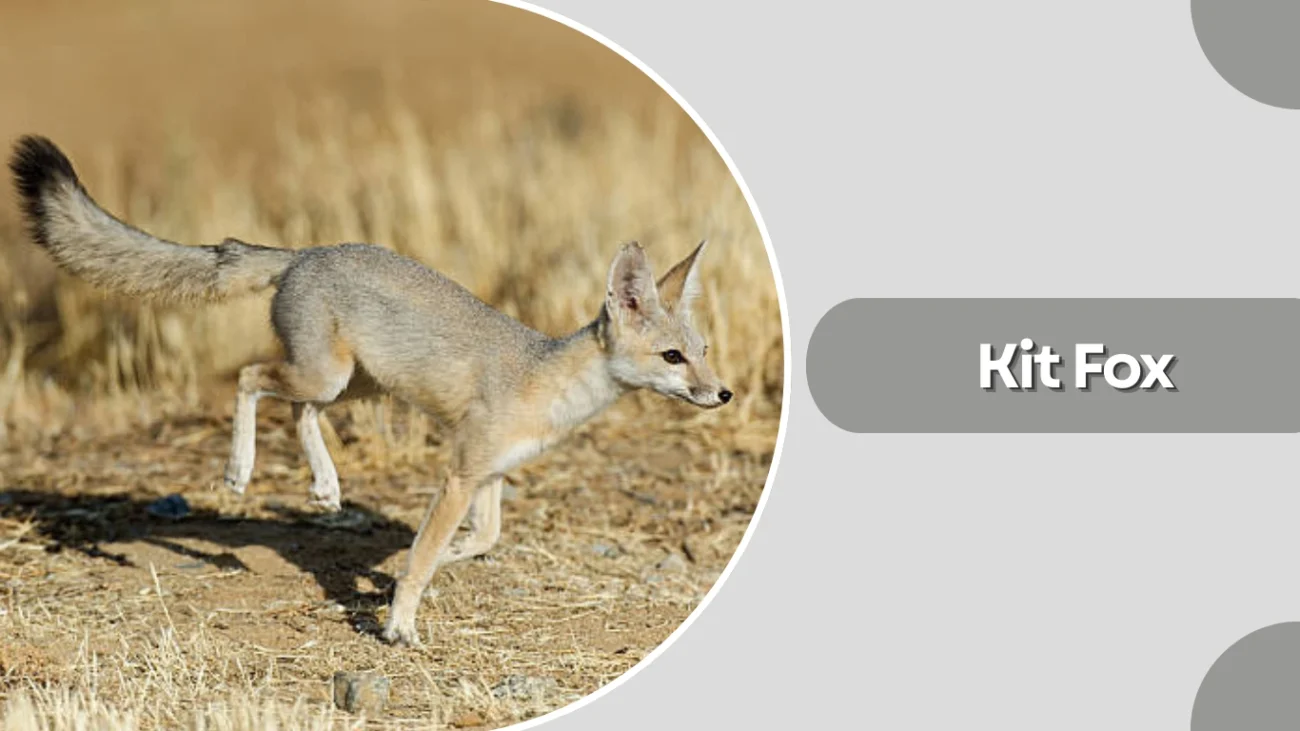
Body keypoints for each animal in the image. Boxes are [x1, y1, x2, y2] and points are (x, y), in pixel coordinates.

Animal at [7, 135, 733, 646]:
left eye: (703, 353)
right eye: (673, 358)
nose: (723, 395)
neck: (548, 377)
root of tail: (306, 251)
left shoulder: (490, 472)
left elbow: (483, 537)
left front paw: (443, 559)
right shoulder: (461, 471)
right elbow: (426, 556)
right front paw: (399, 623)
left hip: (352, 385)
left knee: (298, 409)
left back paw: (326, 486)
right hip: (327, 374)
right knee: (250, 378)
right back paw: (240, 470)